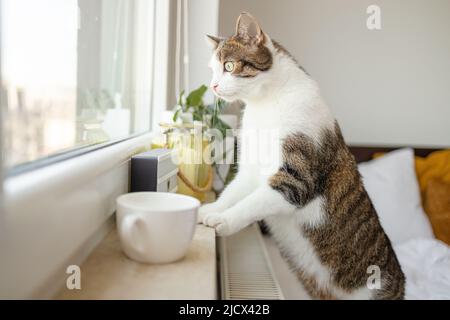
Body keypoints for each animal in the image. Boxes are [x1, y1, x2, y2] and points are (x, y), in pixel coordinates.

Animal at [200, 12, 404, 300]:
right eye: (213, 70)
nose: (214, 85)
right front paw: (212, 209)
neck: (266, 103)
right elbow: (233, 191)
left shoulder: (295, 177)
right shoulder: (251, 169)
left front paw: (224, 220)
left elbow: (252, 203)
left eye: (229, 66)